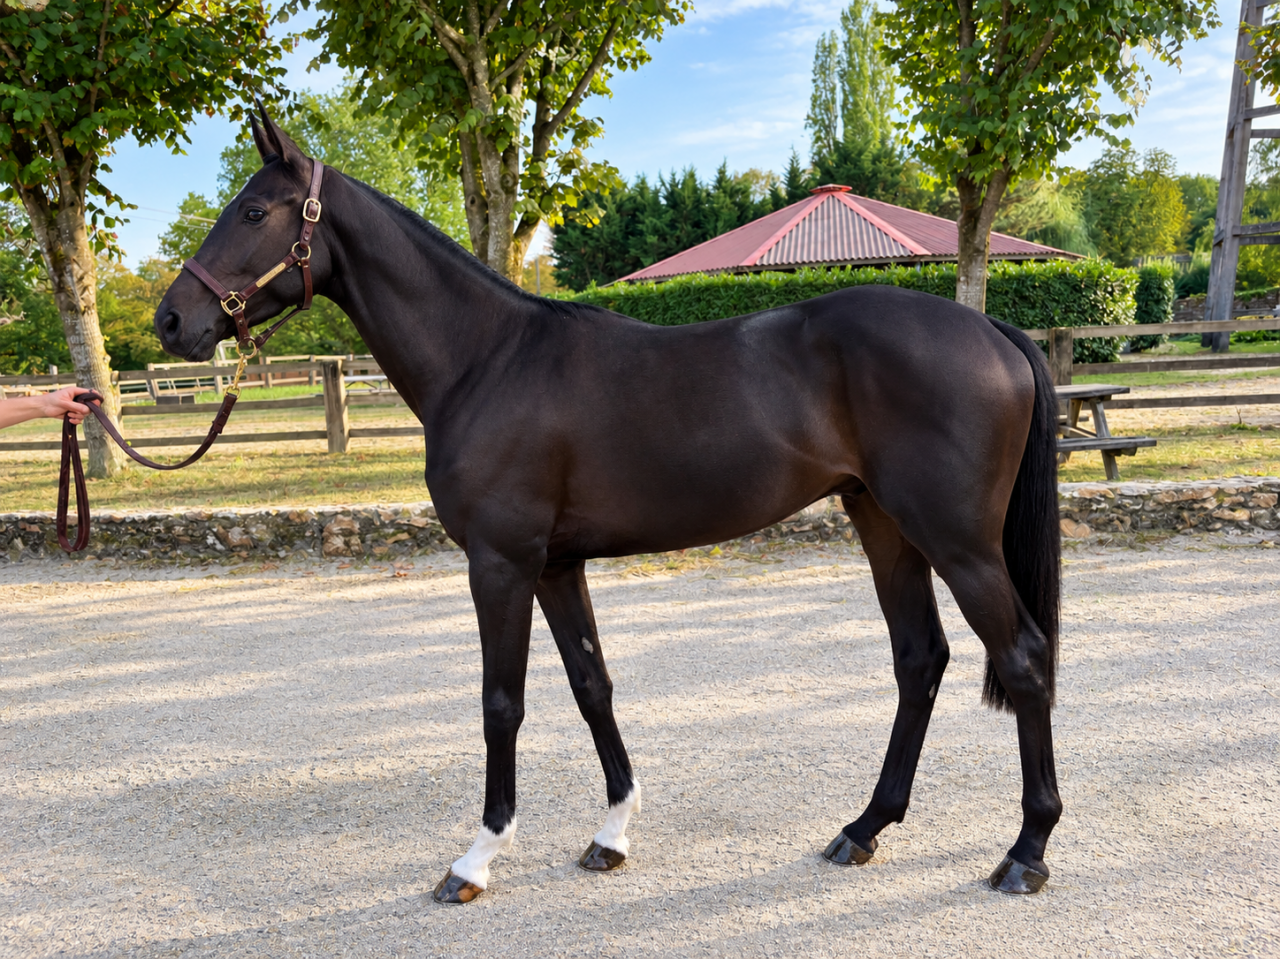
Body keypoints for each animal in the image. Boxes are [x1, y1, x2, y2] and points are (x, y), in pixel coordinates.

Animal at [154, 107, 1064, 903]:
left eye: (255, 210)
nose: (171, 319)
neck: (486, 360)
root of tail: (993, 333)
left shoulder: (501, 563)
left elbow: (501, 702)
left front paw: (476, 858)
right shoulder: (556, 565)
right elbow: (593, 684)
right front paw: (613, 833)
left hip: (956, 540)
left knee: (1022, 657)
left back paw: (1025, 851)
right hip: (883, 523)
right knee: (920, 659)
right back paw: (864, 828)